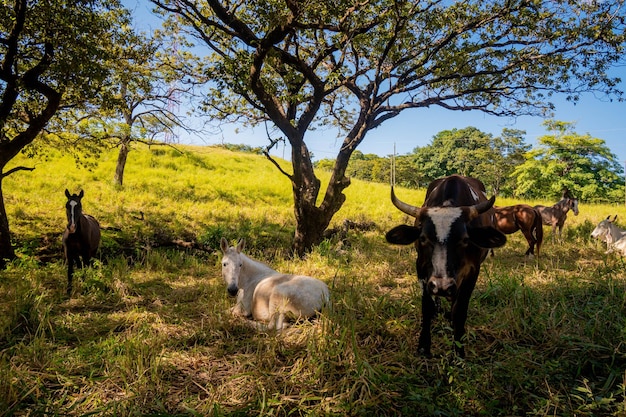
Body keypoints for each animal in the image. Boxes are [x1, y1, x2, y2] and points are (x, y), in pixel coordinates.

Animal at [382, 174, 504, 356]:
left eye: (465, 239)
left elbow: (460, 310)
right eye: (423, 238)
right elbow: (427, 306)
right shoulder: (421, 267)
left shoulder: (473, 271)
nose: (442, 286)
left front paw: (459, 351)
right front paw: (424, 346)